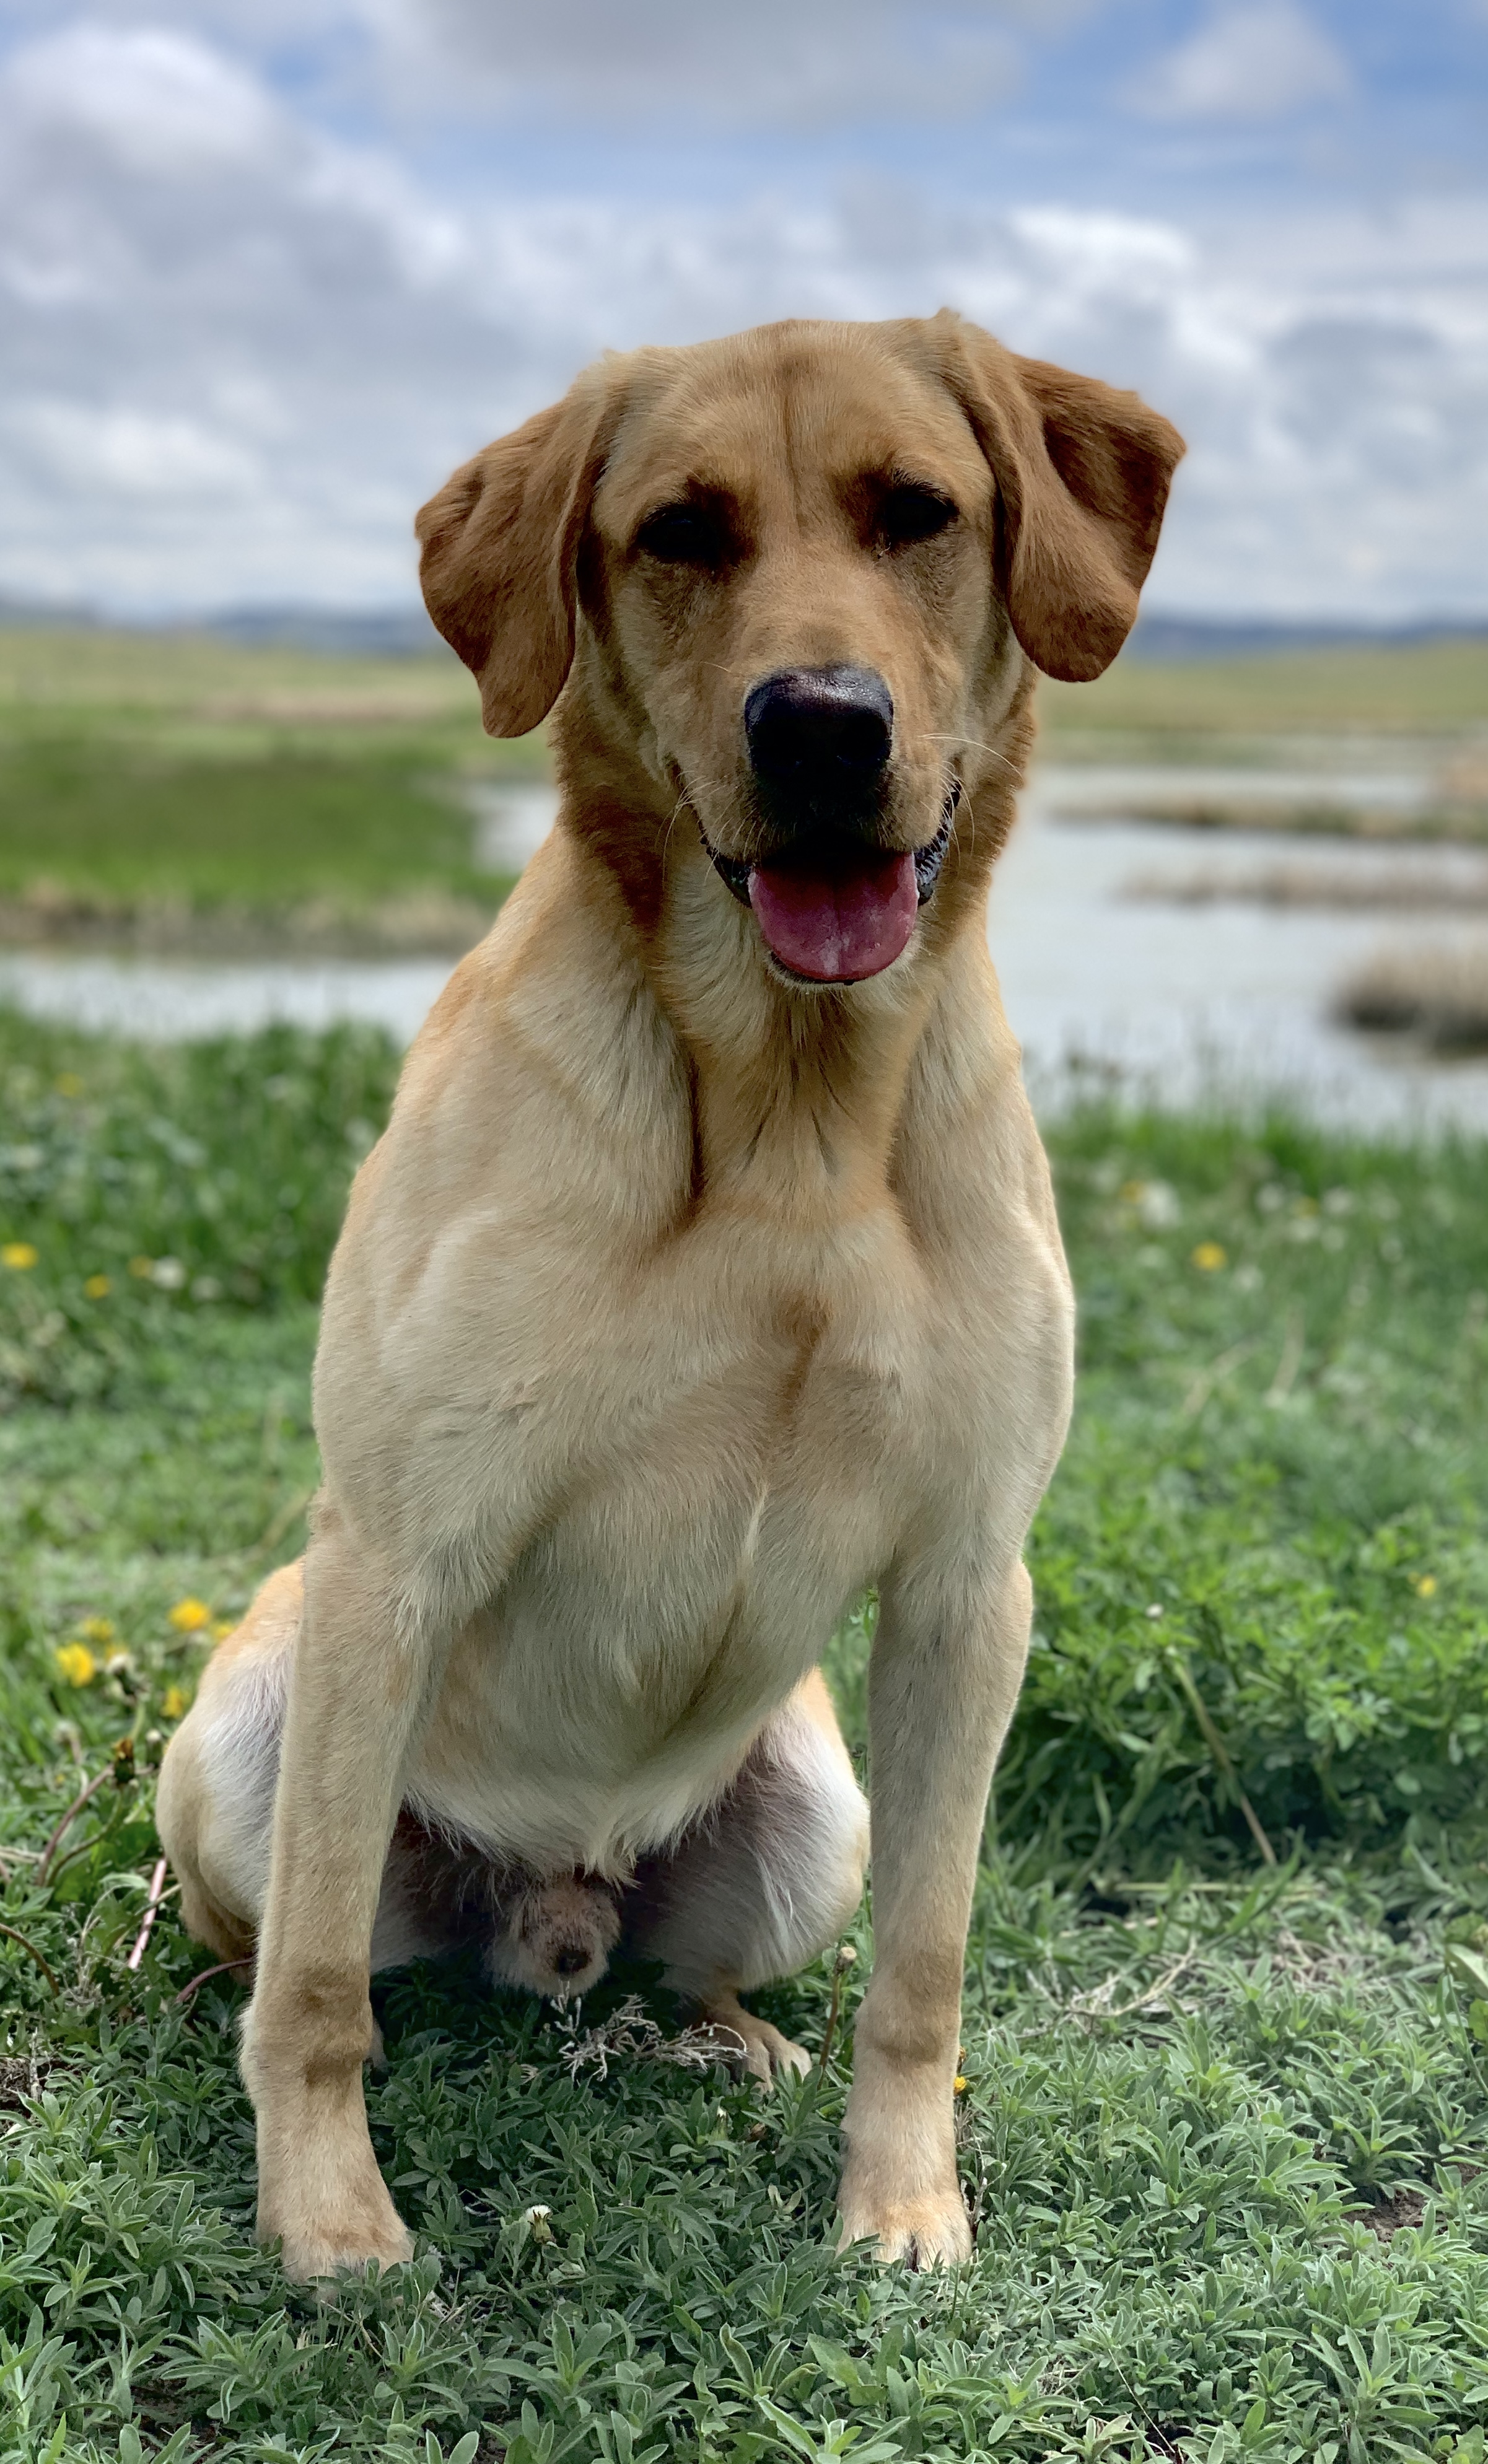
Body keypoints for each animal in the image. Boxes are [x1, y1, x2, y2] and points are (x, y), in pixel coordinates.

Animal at [157, 318, 1177, 2276]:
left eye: (917, 511)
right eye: (679, 533)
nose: (821, 725)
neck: (791, 1108)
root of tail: (552, 1900)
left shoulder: (970, 1587)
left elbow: (928, 1967)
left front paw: (902, 2206)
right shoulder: (396, 1554)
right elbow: (314, 1987)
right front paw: (327, 2216)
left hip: (820, 1812)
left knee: (702, 1969)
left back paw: (729, 2035)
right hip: (247, 1742)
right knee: (289, 1951)